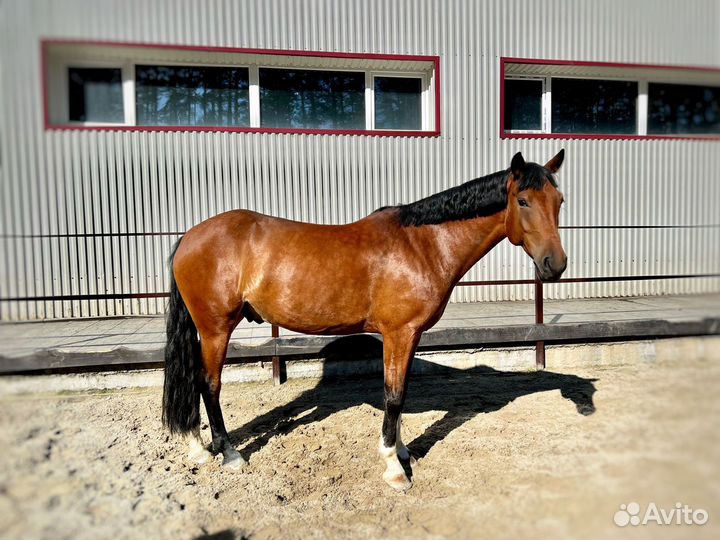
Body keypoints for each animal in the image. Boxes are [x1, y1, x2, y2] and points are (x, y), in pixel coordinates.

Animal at [163, 149, 567, 491]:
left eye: (559, 201)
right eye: (523, 201)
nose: (556, 265)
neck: (423, 244)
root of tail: (189, 237)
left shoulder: (410, 336)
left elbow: (401, 392)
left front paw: (403, 452)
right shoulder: (399, 333)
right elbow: (393, 395)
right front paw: (393, 468)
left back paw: (198, 449)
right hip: (215, 329)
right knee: (208, 384)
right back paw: (228, 453)